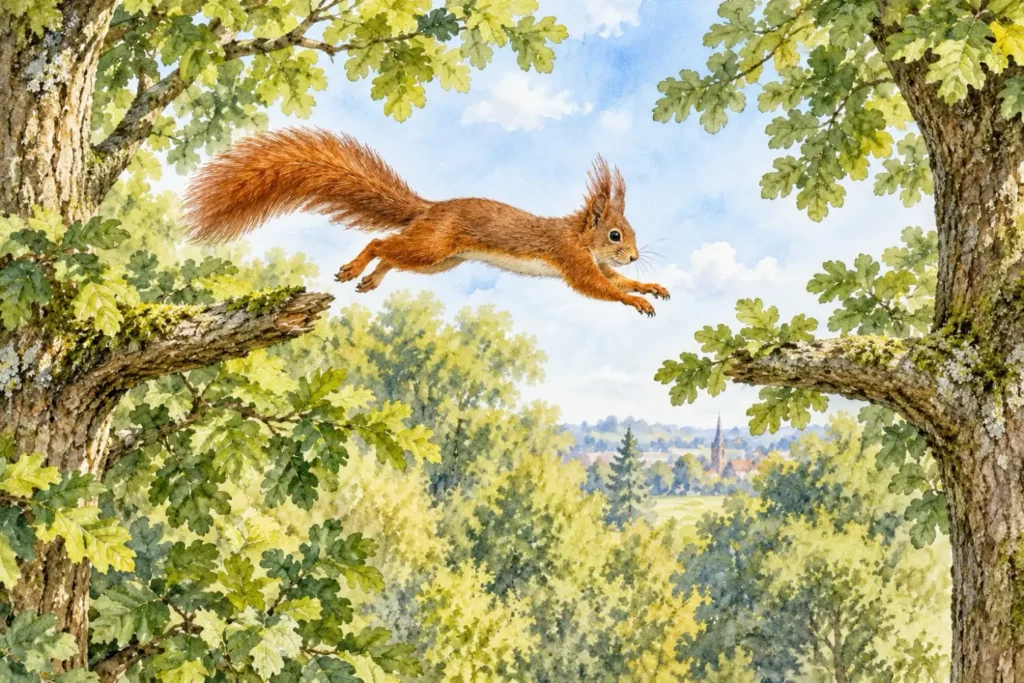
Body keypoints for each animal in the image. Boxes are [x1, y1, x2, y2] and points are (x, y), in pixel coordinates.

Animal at [182, 127, 670, 316]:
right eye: (615, 234)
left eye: (632, 234)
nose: (634, 255)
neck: (579, 236)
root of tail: (430, 209)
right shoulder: (572, 258)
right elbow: (601, 289)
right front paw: (636, 301)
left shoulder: (593, 263)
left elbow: (615, 281)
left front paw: (650, 287)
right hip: (434, 246)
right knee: (381, 242)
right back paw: (355, 268)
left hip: (439, 261)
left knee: (394, 254)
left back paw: (370, 280)